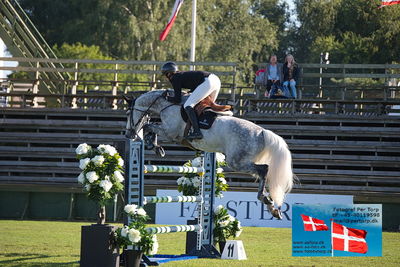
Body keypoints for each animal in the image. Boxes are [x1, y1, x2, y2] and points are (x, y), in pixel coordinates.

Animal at [126, 90, 296, 220]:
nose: (129, 134)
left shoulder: (170, 132)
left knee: (264, 169)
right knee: (263, 172)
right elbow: (150, 126)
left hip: (236, 161)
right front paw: (154, 146)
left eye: (128, 113)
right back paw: (273, 207)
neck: (166, 105)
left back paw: (265, 199)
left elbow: (149, 126)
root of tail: (262, 132)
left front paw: (154, 146)